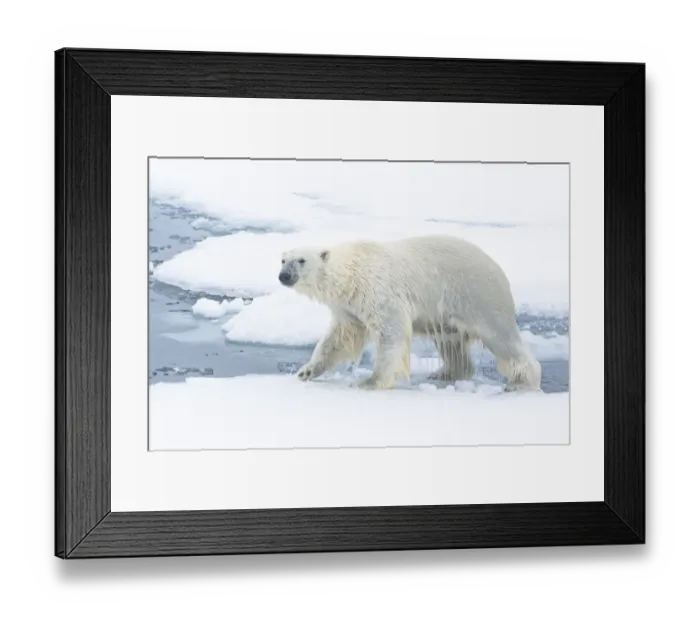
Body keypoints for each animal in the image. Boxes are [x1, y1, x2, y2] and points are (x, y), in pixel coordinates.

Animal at [278, 234, 541, 392]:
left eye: (301, 260)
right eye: (282, 260)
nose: (284, 276)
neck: (352, 273)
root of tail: (497, 268)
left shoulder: (379, 292)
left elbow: (391, 332)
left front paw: (369, 381)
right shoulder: (349, 307)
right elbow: (339, 338)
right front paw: (306, 371)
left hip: (478, 297)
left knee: (501, 337)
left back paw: (520, 383)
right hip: (448, 313)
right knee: (450, 342)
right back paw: (444, 373)